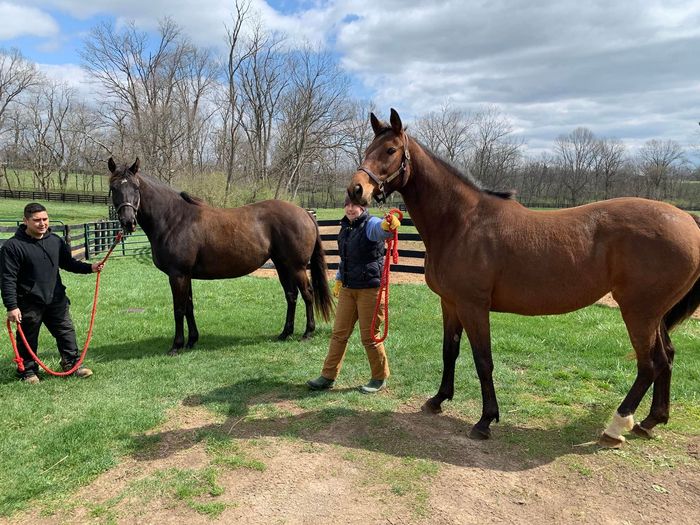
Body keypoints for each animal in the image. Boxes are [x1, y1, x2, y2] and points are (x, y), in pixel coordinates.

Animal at [108, 157, 333, 355]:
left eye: (136, 188)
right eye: (113, 188)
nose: (128, 222)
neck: (174, 219)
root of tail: (304, 213)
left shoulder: (177, 274)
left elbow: (178, 308)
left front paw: (176, 346)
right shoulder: (185, 275)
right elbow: (189, 306)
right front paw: (192, 341)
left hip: (297, 267)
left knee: (307, 294)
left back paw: (307, 333)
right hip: (282, 265)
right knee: (291, 295)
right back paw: (285, 333)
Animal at [347, 109, 700, 448]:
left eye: (390, 150)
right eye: (368, 149)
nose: (356, 190)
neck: (461, 222)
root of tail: (687, 220)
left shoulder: (473, 307)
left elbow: (483, 360)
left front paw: (485, 421)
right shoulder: (450, 304)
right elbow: (450, 351)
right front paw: (437, 400)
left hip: (639, 312)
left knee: (648, 364)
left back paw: (616, 426)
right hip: (655, 314)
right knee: (666, 358)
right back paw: (651, 421)